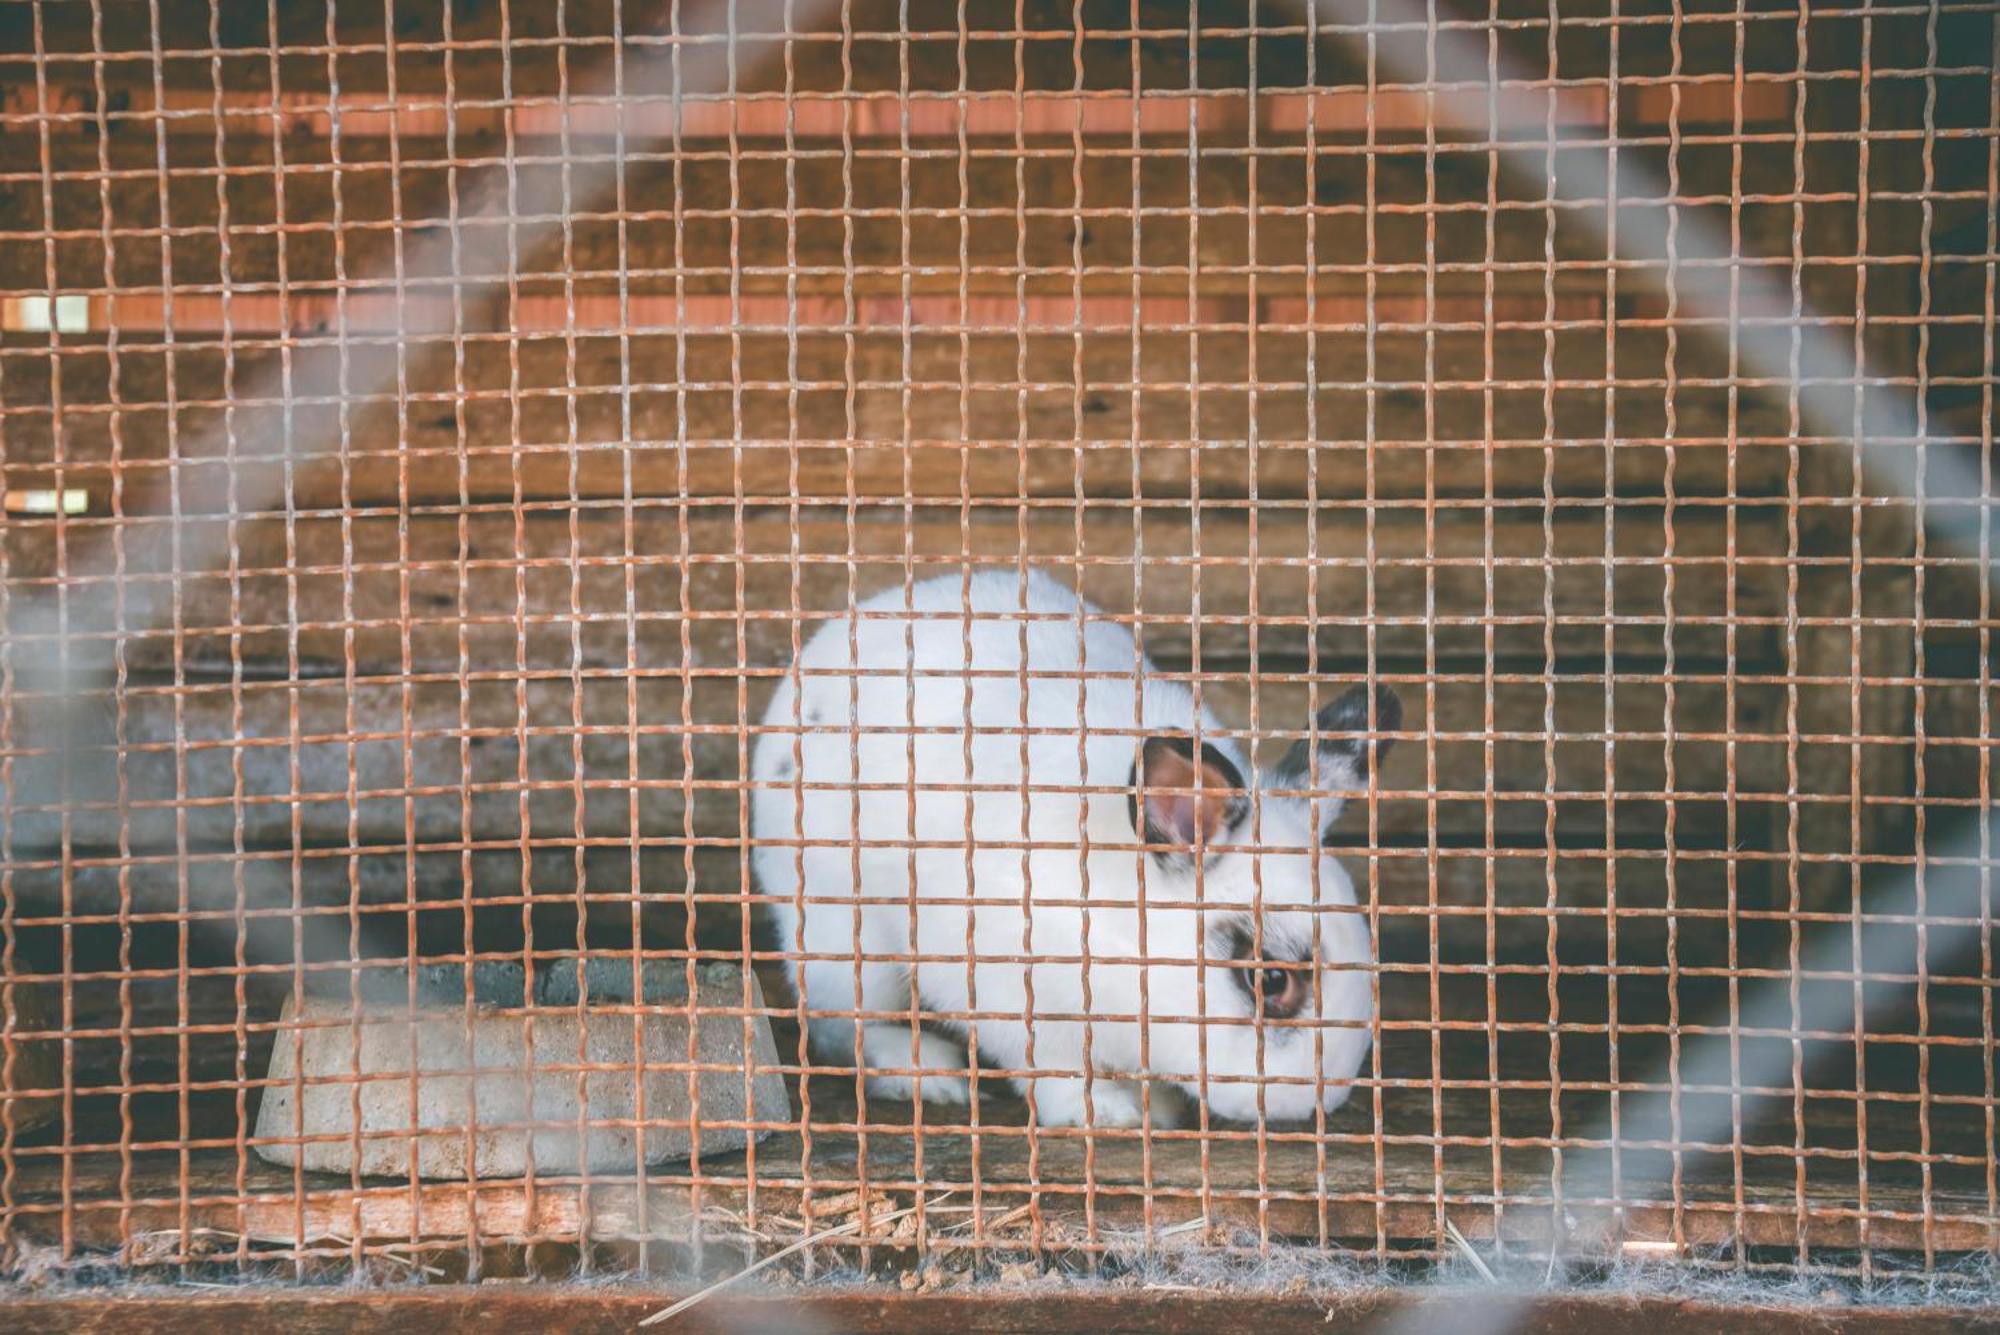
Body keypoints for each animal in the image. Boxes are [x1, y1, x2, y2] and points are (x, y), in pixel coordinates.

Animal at [744, 567, 1400, 1127]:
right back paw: (928, 1074)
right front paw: (1105, 1114)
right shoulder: (1009, 995)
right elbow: (1050, 1068)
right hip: (841, 943)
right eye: (1270, 981)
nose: (1319, 1100)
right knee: (844, 1029)